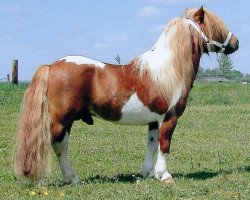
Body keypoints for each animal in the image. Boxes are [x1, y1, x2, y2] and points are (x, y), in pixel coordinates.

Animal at [13, 6, 238, 184]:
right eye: (216, 25)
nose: (236, 43)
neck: (166, 71)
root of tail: (51, 66)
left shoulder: (154, 120)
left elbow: (151, 144)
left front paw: (148, 173)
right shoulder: (169, 118)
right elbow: (164, 145)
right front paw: (164, 175)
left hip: (66, 121)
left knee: (60, 146)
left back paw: (72, 178)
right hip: (61, 120)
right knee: (45, 144)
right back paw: (41, 180)